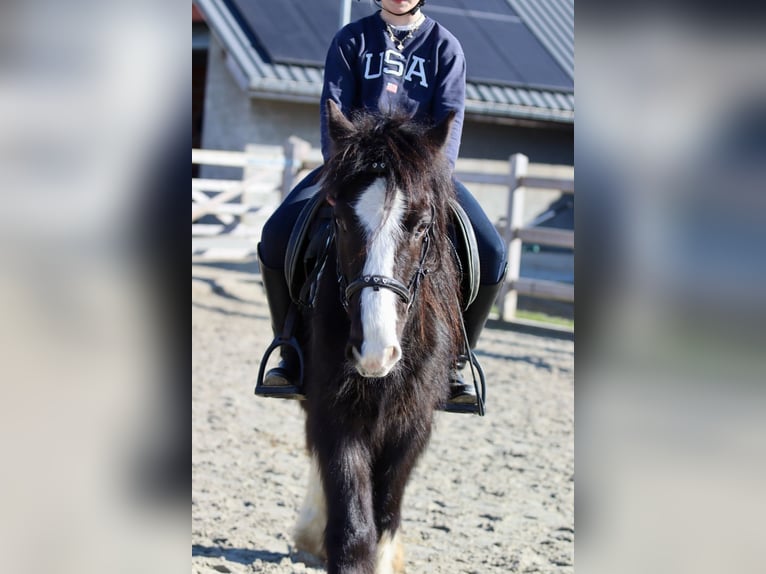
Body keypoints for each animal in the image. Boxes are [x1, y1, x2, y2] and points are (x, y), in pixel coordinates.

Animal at [292, 101, 462, 572]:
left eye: (421, 227)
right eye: (339, 221)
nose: (374, 353)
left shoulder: (415, 421)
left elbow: (386, 507)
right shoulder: (334, 409)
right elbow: (353, 524)